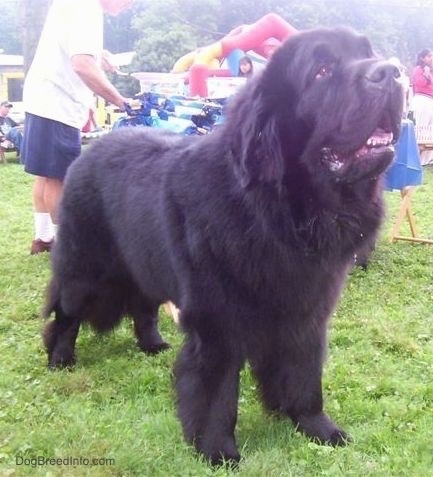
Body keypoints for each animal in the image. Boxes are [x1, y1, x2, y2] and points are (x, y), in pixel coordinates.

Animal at [43, 27, 402, 464]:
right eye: (321, 71)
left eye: (367, 53)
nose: (391, 71)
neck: (281, 214)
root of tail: (87, 151)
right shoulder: (218, 321)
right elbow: (217, 391)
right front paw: (217, 451)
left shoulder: (306, 310)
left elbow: (304, 373)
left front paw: (317, 427)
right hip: (85, 267)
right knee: (65, 312)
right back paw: (61, 358)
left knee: (143, 304)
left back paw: (153, 344)